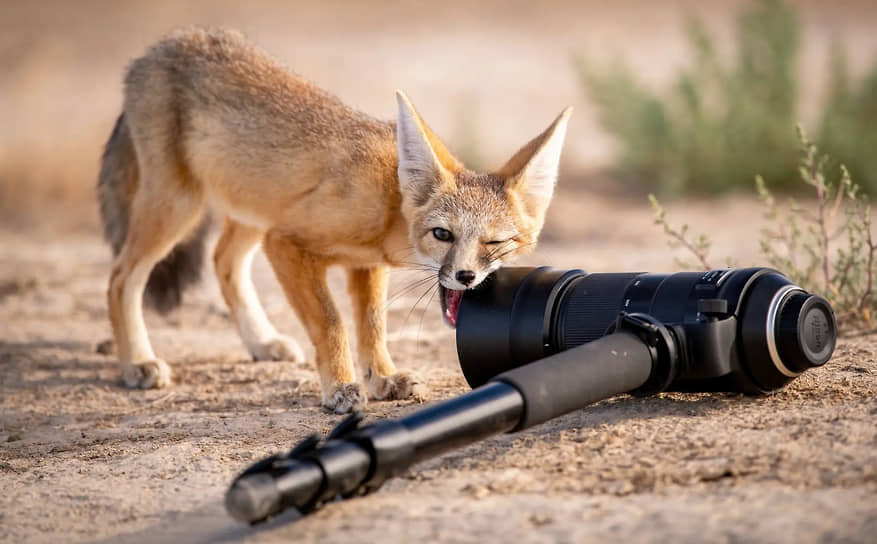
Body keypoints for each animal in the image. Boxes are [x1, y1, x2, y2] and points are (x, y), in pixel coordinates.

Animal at [97, 27, 576, 412]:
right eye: (442, 234)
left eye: (495, 242)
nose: (465, 277)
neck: (388, 200)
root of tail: (162, 45)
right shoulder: (287, 244)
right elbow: (332, 323)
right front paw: (341, 387)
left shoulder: (364, 264)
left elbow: (373, 327)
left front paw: (383, 378)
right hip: (181, 207)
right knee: (121, 276)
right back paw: (137, 361)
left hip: (254, 210)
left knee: (223, 260)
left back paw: (260, 341)